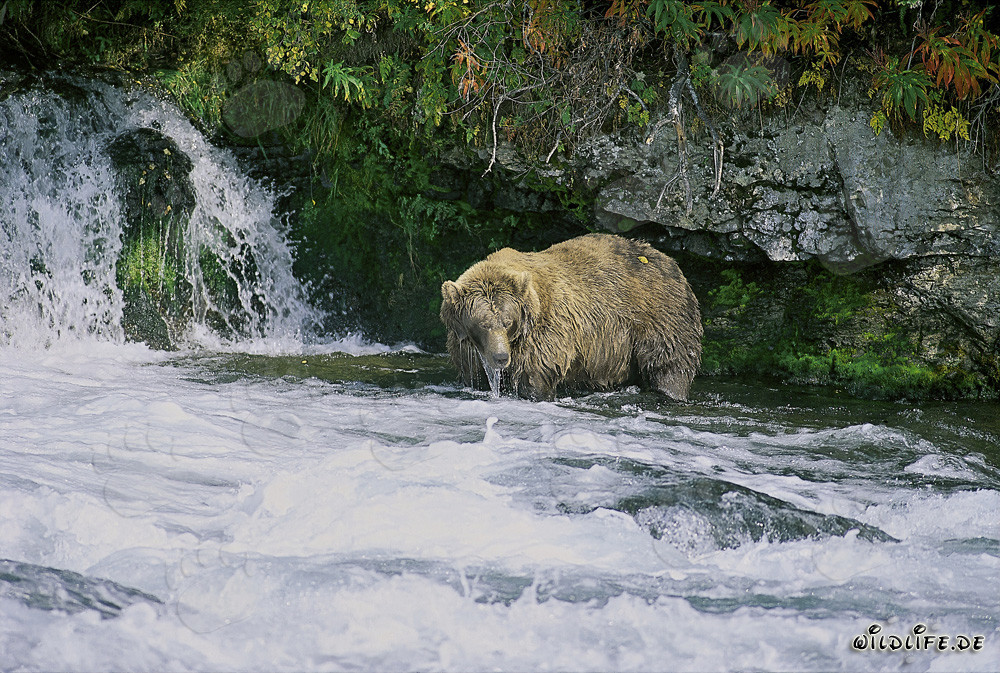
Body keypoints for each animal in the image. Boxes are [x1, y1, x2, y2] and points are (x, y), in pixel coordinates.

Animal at [439, 233, 703, 400]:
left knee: (670, 363)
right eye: (483, 323)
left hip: (660, 316)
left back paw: (670, 392)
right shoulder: (467, 349)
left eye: (507, 322)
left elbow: (536, 375)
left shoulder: (547, 333)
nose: (501, 357)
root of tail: (670, 260)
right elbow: (473, 375)